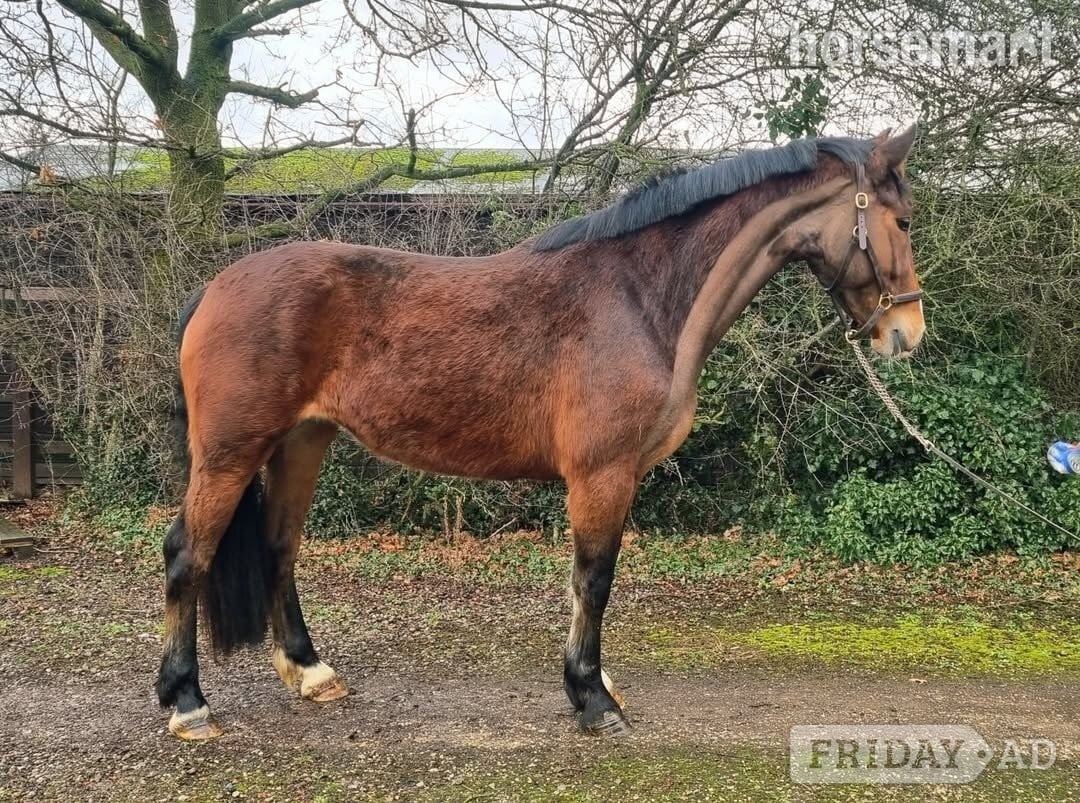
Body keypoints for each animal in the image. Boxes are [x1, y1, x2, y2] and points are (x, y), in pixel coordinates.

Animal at [155, 126, 924, 740]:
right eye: (903, 221)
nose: (907, 332)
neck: (639, 298)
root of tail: (215, 288)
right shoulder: (603, 474)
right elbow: (595, 579)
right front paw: (592, 699)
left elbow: (583, 584)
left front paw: (598, 684)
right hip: (230, 453)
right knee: (188, 554)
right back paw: (188, 702)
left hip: (302, 441)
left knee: (279, 548)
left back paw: (312, 672)